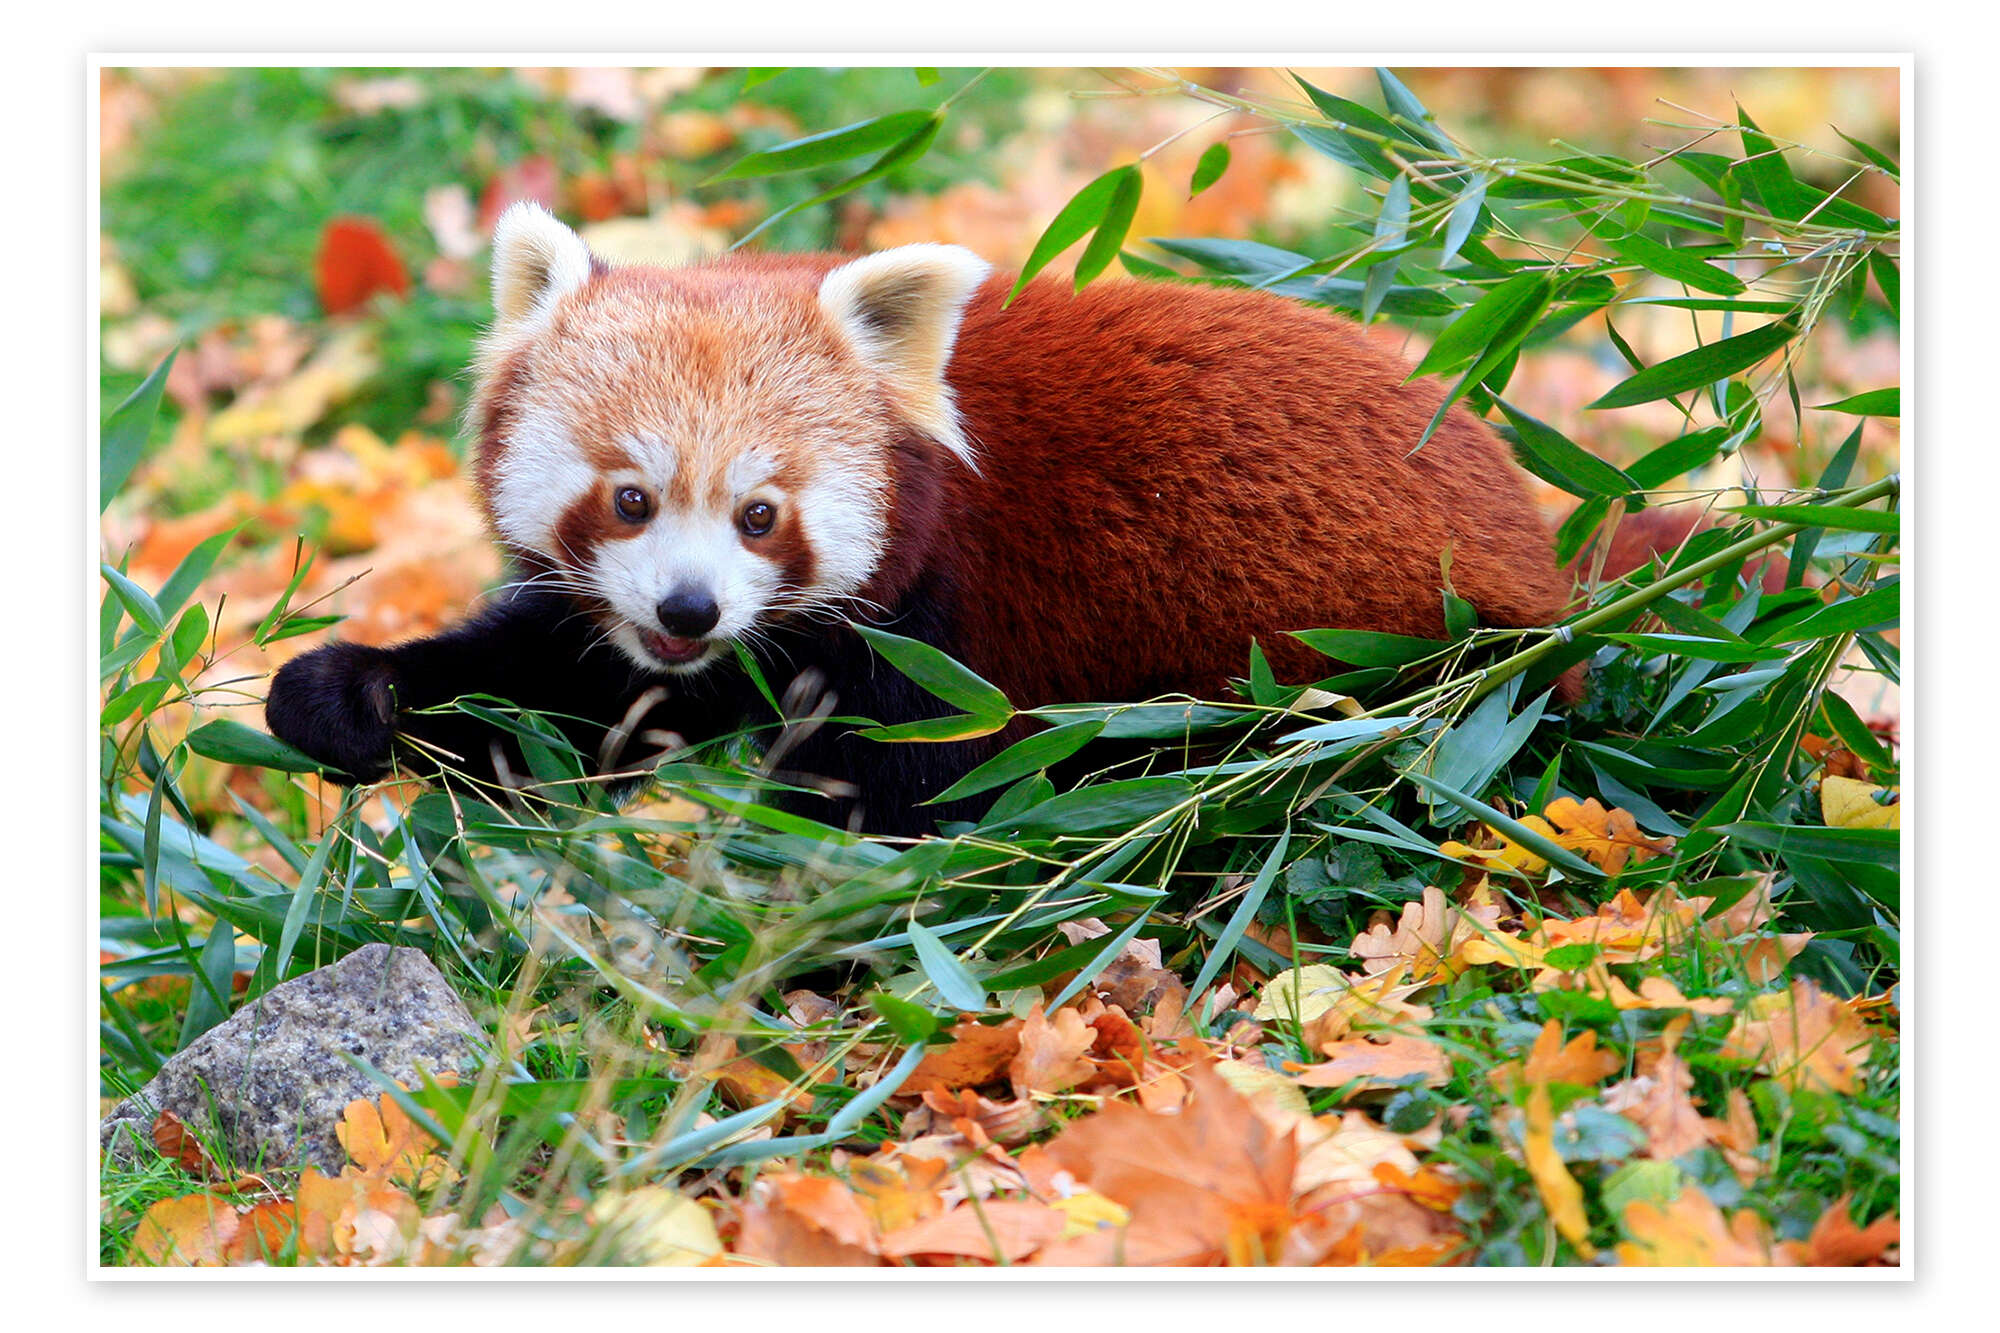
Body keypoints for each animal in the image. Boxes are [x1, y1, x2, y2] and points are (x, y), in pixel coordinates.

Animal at [266, 201, 1576, 832]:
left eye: (759, 513)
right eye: (630, 497)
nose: (688, 608)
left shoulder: (945, 639)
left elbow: (905, 804)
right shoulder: (686, 649)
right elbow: (555, 696)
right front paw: (348, 697)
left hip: (1379, 678)